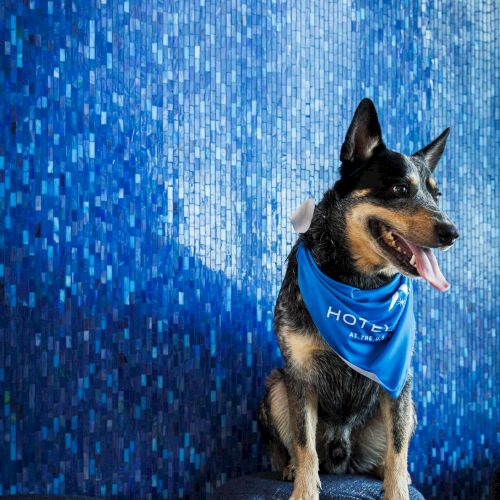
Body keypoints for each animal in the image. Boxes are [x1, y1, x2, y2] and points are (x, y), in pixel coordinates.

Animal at [260, 98, 458, 500]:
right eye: (399, 188)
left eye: (436, 194)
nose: (452, 232)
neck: (359, 284)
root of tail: (342, 451)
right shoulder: (299, 376)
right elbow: (304, 446)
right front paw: (304, 490)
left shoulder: (399, 382)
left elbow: (399, 449)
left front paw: (397, 490)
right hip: (274, 387)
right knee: (289, 448)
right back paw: (289, 468)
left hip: (407, 408)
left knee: (391, 450)